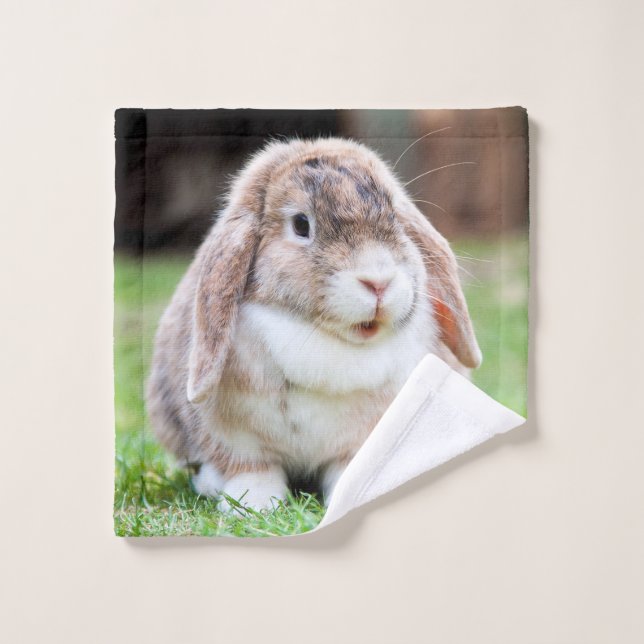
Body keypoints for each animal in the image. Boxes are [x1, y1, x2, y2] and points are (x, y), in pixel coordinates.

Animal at [146, 137, 481, 512]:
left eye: (395, 216)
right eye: (301, 225)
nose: (378, 282)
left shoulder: (362, 438)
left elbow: (350, 467)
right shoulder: (235, 438)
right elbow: (252, 470)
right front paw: (254, 506)